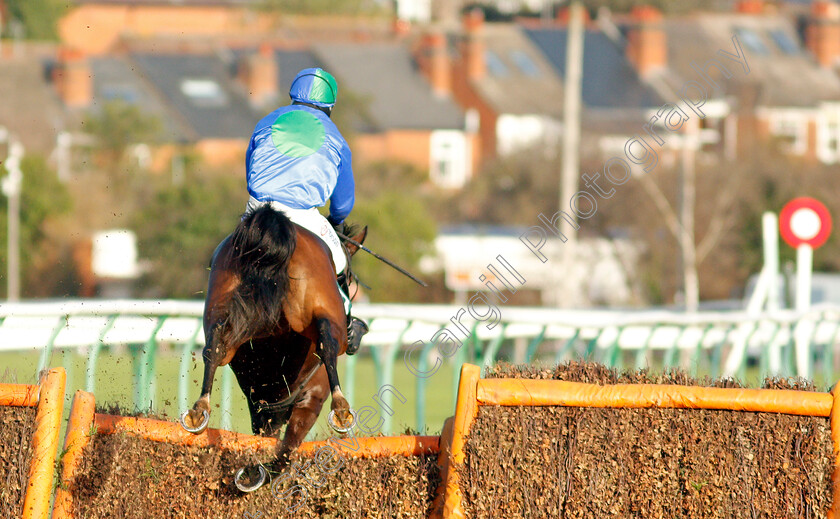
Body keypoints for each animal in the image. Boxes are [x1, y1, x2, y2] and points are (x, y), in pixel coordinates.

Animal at [180, 204, 364, 492]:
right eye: (347, 278)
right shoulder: (309, 399)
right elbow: (286, 449)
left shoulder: (262, 405)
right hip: (324, 314)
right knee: (328, 343)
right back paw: (342, 410)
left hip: (220, 303)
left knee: (214, 348)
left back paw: (199, 411)